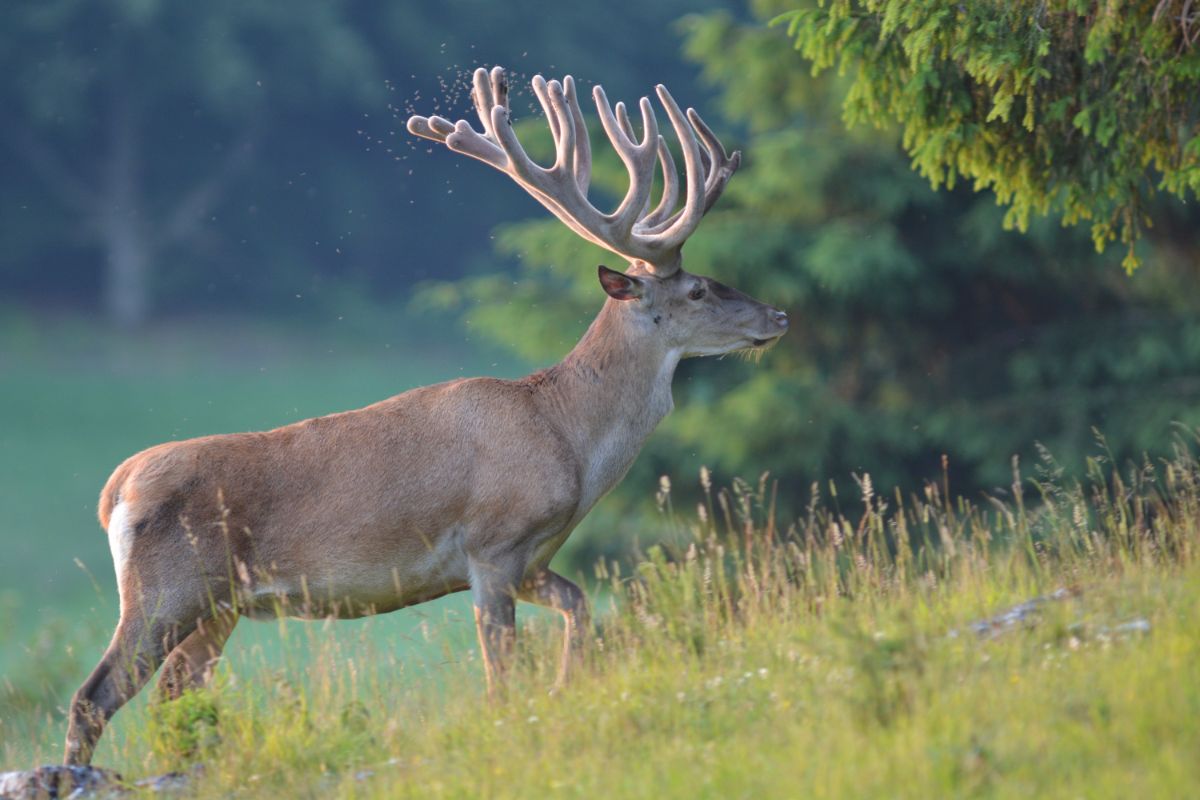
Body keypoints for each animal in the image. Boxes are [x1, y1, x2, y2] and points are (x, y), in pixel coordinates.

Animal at [63, 65, 787, 767]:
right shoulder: (493, 545)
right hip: (167, 590)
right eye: (698, 290)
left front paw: (564, 689)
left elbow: (580, 606)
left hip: (216, 608)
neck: (567, 439)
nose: (778, 316)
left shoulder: (532, 559)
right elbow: (500, 677)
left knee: (173, 700)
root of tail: (114, 489)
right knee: (93, 696)